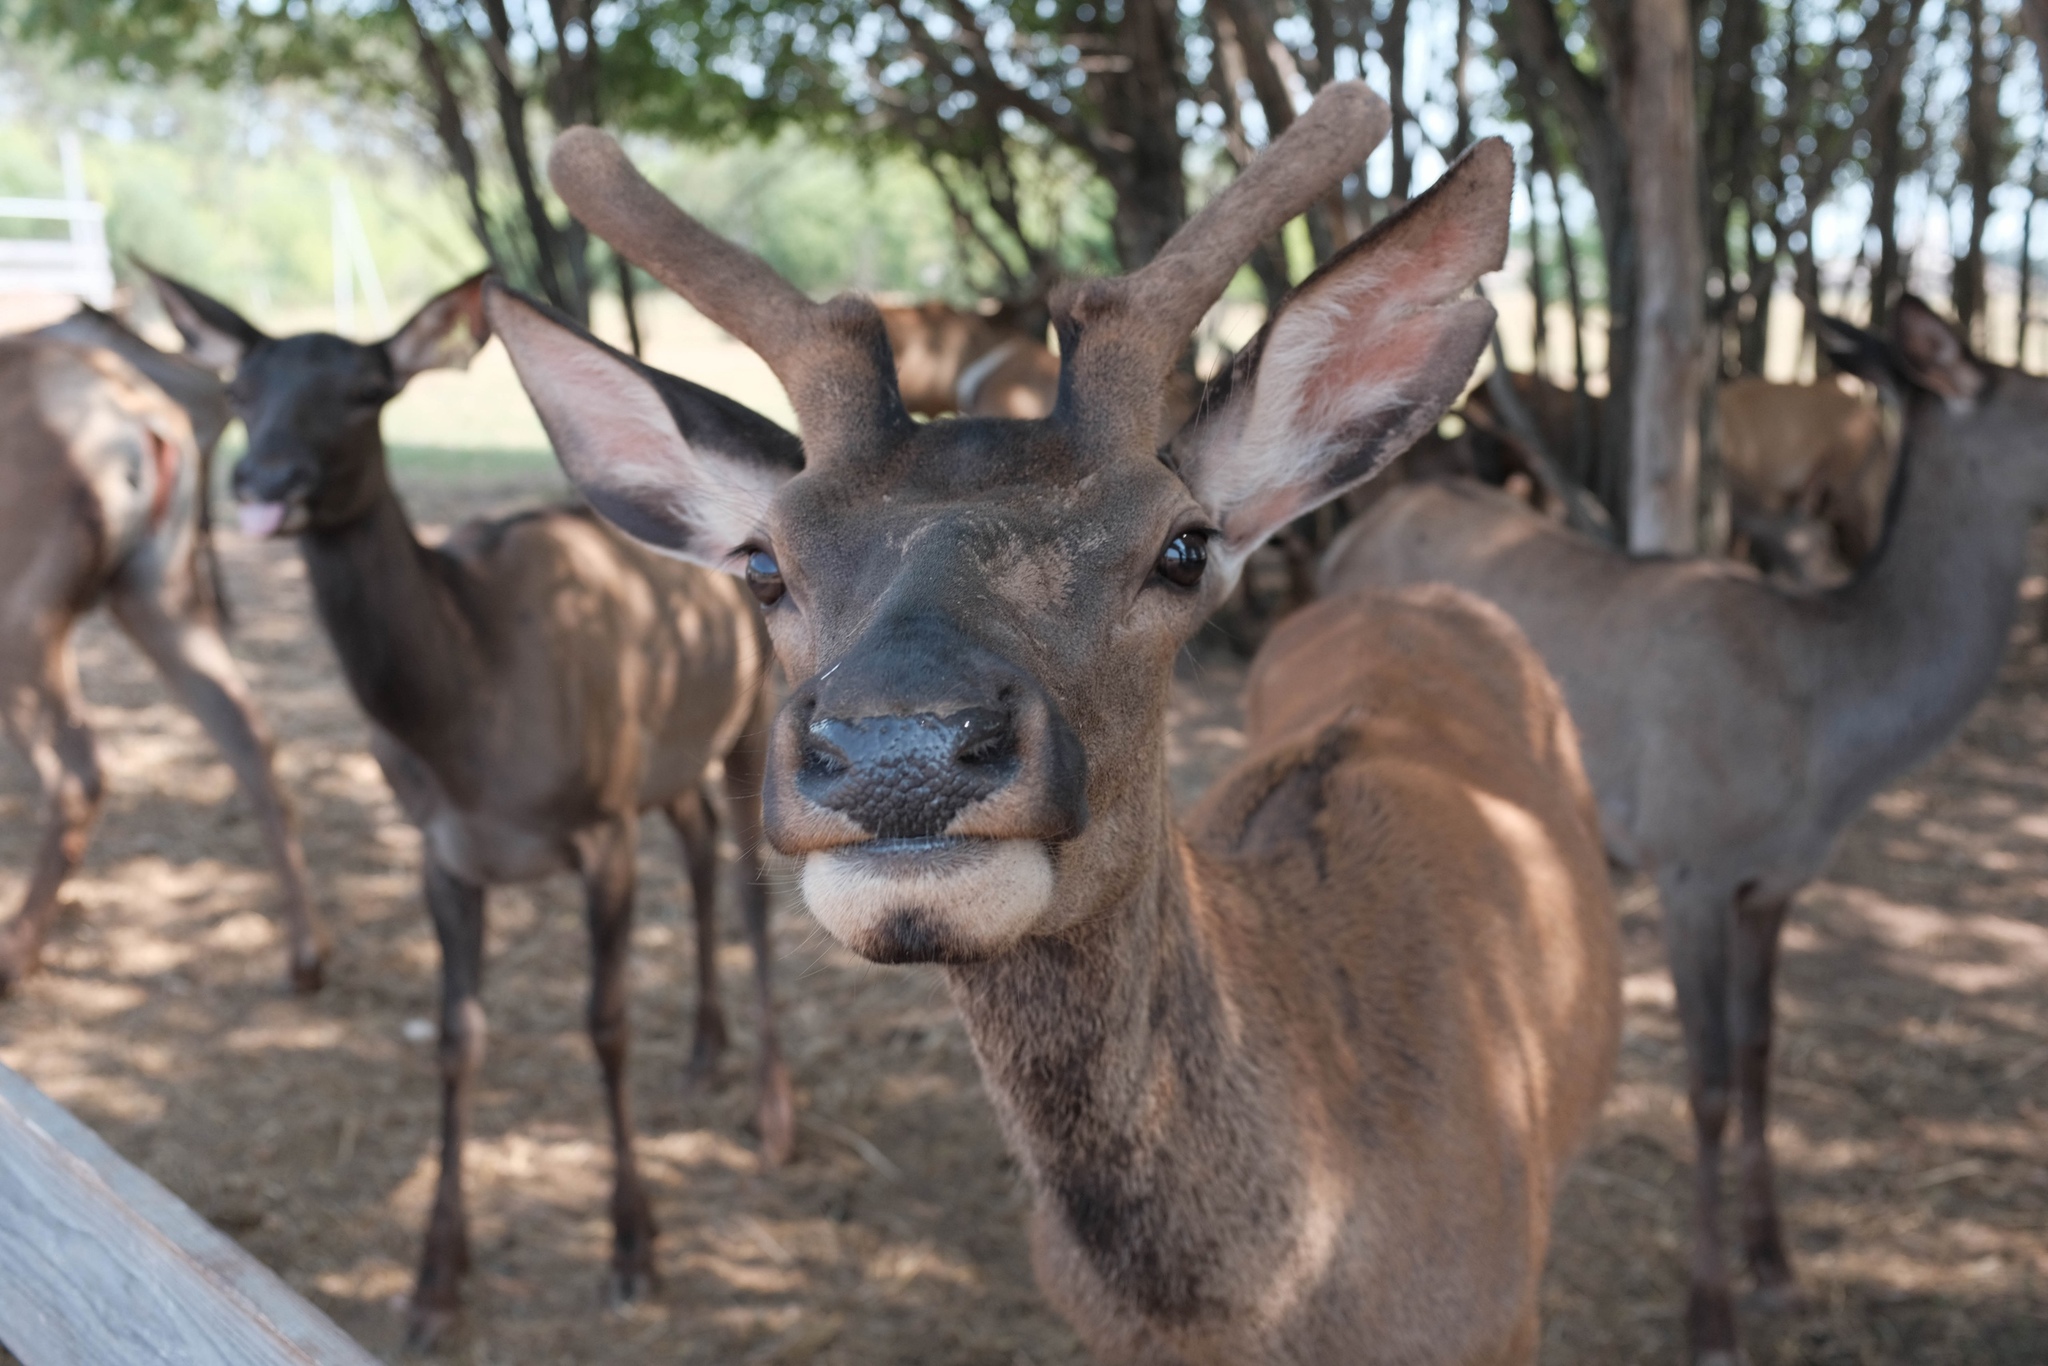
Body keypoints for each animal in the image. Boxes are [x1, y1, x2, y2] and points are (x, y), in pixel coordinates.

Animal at [0, 307, 323, 995]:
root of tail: (141, 418)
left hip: (23, 616)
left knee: (79, 773)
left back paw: (15, 952)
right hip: (158, 591)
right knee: (249, 733)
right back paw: (307, 954)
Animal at [144, 266, 794, 1343]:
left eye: (367, 391)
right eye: (239, 388)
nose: (264, 481)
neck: (470, 719)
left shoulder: (600, 825)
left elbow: (605, 1023)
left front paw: (633, 1248)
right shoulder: (442, 850)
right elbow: (457, 1040)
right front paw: (433, 1279)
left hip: (751, 714)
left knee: (750, 886)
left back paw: (768, 1111)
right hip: (665, 757)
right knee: (700, 846)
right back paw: (705, 1051)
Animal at [1318, 299, 2039, 1366]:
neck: (1827, 744)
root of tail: (1343, 541)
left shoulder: (1777, 882)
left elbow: (1759, 1055)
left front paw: (1777, 1267)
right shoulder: (1690, 858)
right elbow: (1704, 1084)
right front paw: (1711, 1314)